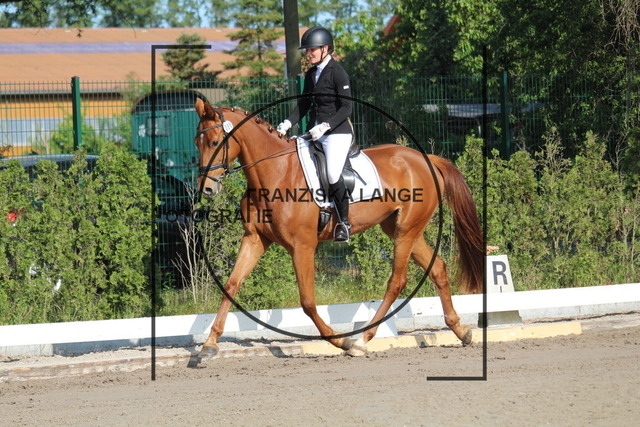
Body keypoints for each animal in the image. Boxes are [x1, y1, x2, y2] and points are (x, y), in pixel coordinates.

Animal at [193, 98, 483, 358]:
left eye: (215, 142)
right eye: (198, 142)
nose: (206, 188)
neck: (275, 172)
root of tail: (427, 159)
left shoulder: (303, 246)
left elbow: (307, 302)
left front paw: (340, 341)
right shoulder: (255, 239)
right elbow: (231, 285)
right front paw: (209, 344)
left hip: (405, 230)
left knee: (397, 281)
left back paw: (362, 340)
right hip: (401, 229)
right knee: (438, 268)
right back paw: (461, 330)